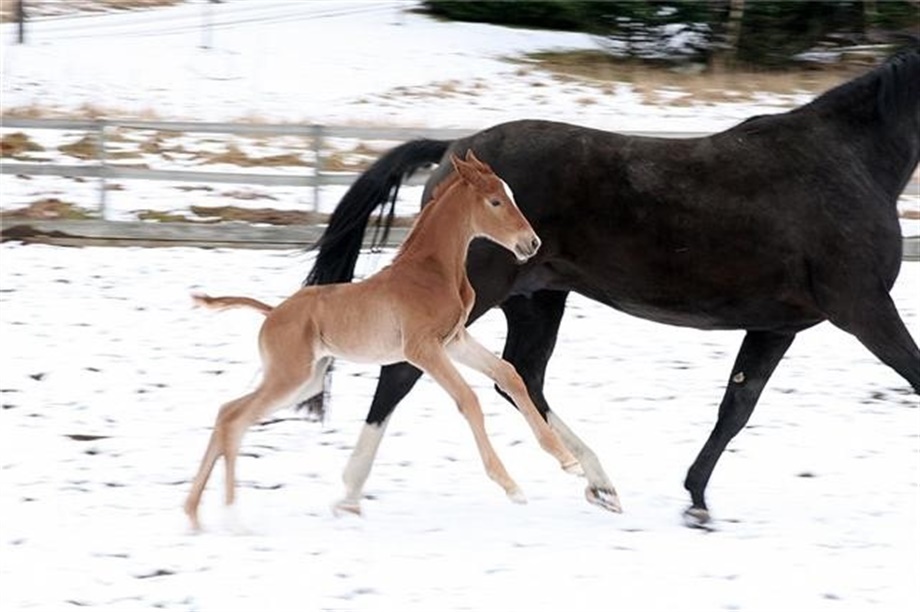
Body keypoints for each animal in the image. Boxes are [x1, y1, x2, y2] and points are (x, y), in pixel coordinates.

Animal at [184, 151, 580, 531]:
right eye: (495, 201)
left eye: (510, 195)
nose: (531, 243)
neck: (432, 272)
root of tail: (272, 313)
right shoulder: (421, 349)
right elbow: (468, 399)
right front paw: (511, 486)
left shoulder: (454, 340)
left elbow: (508, 374)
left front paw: (568, 460)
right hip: (290, 377)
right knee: (234, 419)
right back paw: (231, 517)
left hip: (305, 381)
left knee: (228, 413)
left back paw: (194, 515)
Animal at [303, 46, 920, 527]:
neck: (849, 163)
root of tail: (457, 150)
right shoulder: (865, 309)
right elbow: (915, 377)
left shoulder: (777, 325)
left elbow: (736, 406)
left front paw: (696, 499)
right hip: (480, 295)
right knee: (405, 373)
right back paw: (350, 493)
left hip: (537, 301)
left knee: (520, 378)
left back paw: (596, 480)